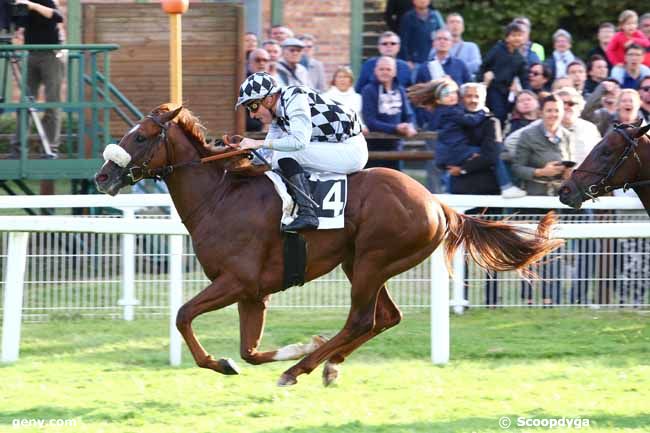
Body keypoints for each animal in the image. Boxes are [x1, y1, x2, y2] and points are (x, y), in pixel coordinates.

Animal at [93, 104, 560, 384]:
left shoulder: (237, 282)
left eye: (140, 137)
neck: (220, 197)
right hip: (362, 264)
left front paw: (224, 363)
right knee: (384, 318)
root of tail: (436, 203)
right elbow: (249, 351)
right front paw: (284, 350)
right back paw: (327, 364)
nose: (102, 176)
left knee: (361, 320)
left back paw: (302, 368)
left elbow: (184, 316)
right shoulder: (253, 293)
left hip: (373, 261)